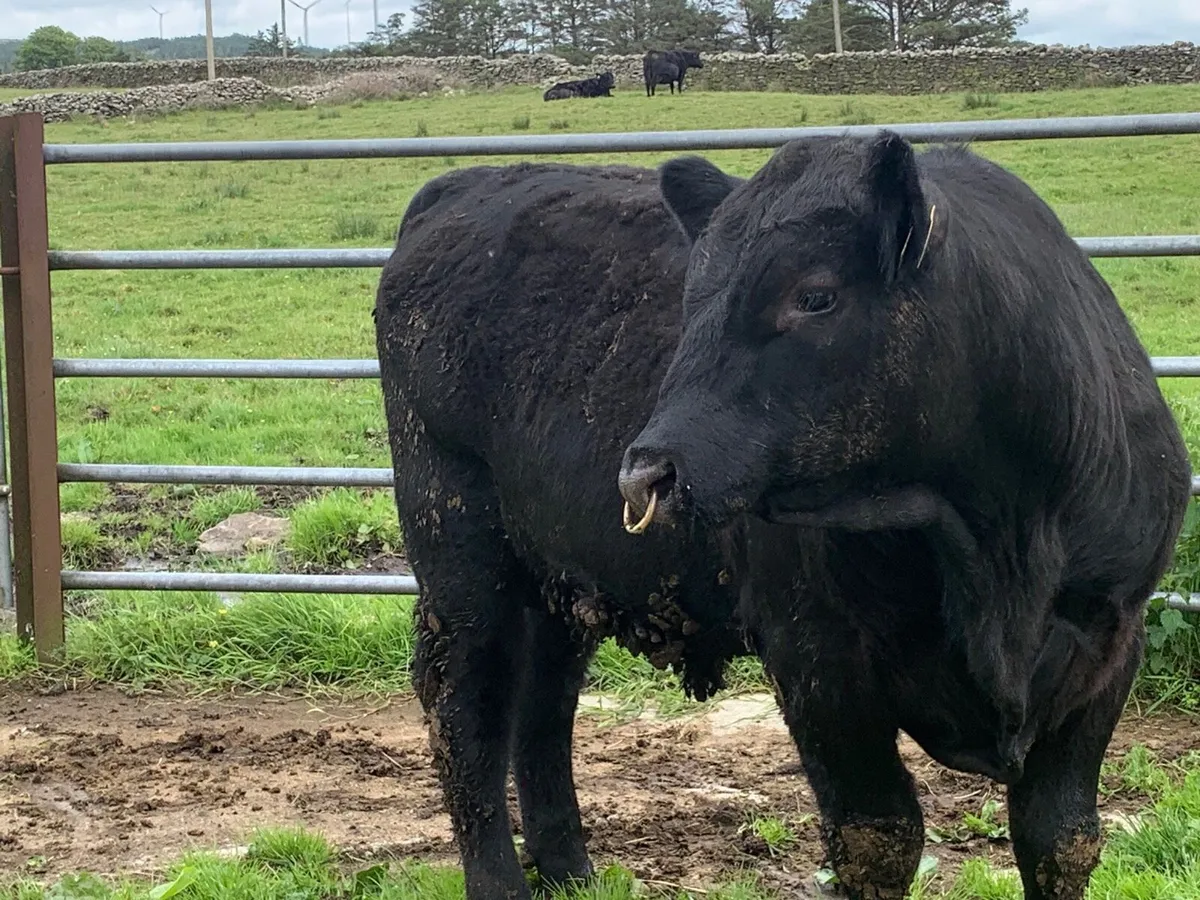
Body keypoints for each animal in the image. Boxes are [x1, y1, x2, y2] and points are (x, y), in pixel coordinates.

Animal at [373, 161, 748, 900]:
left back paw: (570, 869)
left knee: (541, 706)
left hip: (561, 578)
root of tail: (461, 188)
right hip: (463, 557)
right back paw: (501, 881)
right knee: (466, 696)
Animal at [618, 133, 1192, 900]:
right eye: (693, 300)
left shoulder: (1110, 643)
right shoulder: (815, 660)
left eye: (815, 296)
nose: (646, 473)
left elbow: (1061, 840)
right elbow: (878, 839)